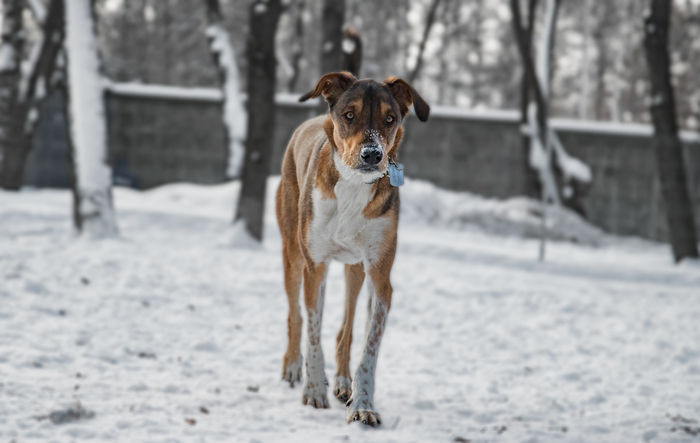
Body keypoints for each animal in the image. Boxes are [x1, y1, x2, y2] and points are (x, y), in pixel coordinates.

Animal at [276, 72, 430, 426]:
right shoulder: (315, 265)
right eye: (349, 115)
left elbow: (368, 348)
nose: (373, 154)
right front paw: (313, 390)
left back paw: (342, 383)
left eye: (390, 118)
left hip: (355, 268)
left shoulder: (379, 274)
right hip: (293, 254)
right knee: (296, 315)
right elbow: (312, 329)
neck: (352, 189)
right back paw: (293, 366)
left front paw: (363, 405)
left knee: (344, 330)